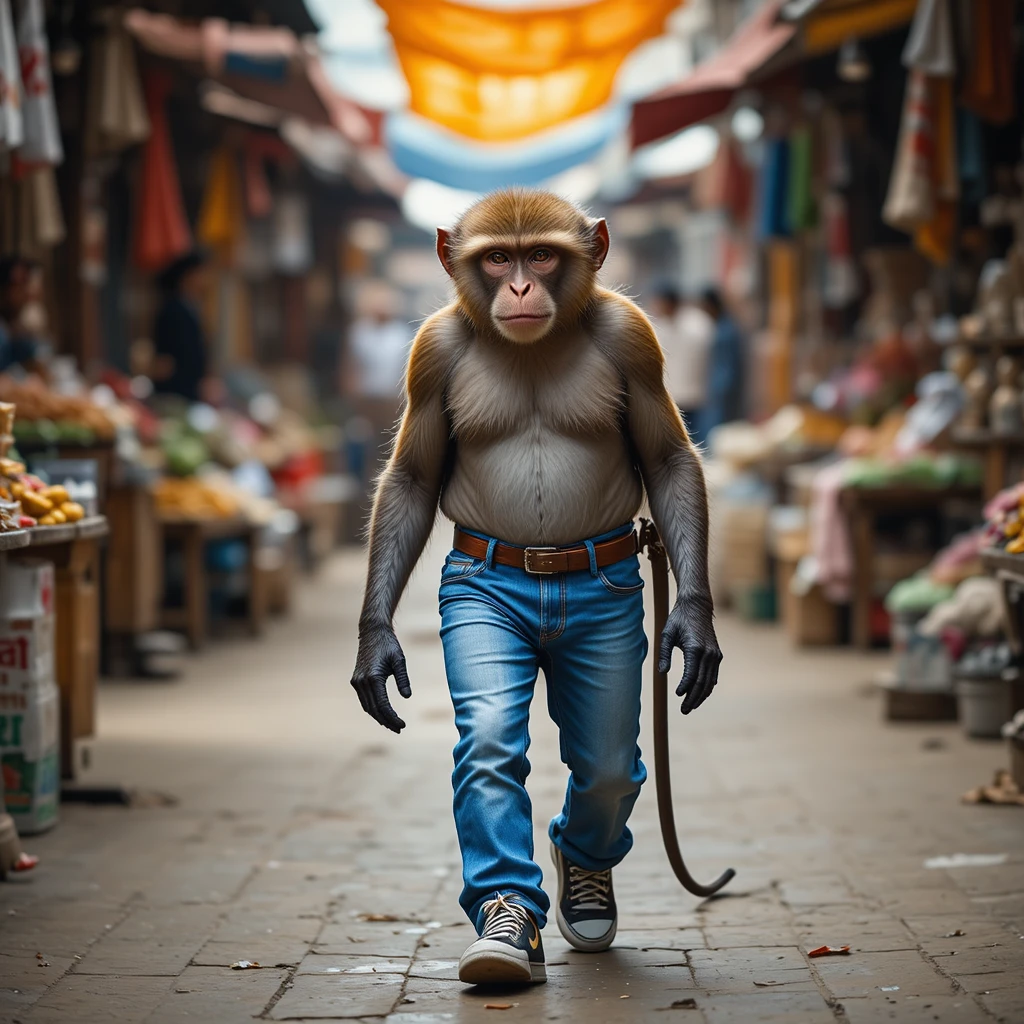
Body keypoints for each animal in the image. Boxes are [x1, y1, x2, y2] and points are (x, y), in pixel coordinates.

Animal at [350, 188, 722, 986]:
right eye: (497, 258)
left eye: (542, 254)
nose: (520, 287)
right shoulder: (431, 353)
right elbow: (414, 479)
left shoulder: (633, 336)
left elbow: (668, 458)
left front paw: (693, 626)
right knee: (508, 739)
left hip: (605, 637)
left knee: (606, 762)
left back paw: (583, 884)